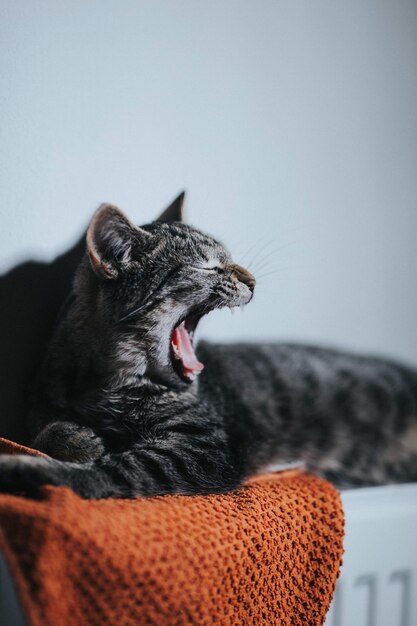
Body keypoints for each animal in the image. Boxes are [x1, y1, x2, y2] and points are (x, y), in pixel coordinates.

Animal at [0, 190, 414, 498]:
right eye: (208, 266)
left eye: (230, 258)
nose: (253, 281)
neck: (111, 384)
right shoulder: (39, 402)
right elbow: (41, 429)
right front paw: (77, 439)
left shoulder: (201, 449)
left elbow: (110, 472)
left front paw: (29, 468)